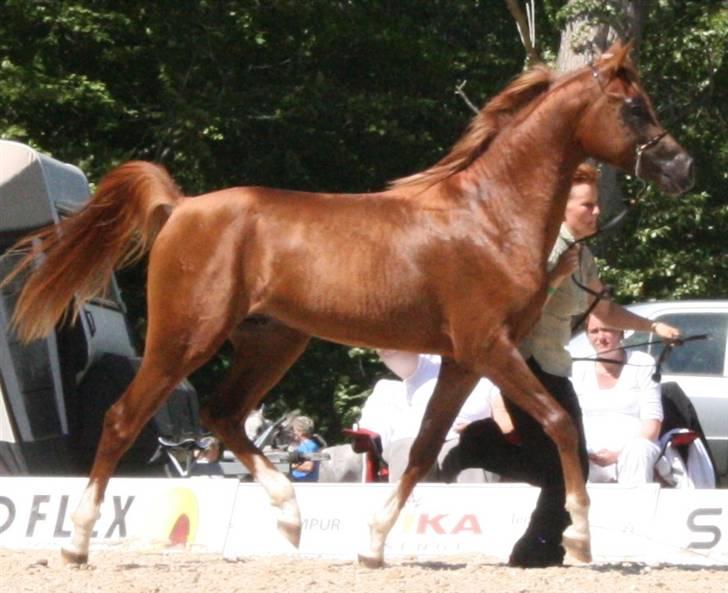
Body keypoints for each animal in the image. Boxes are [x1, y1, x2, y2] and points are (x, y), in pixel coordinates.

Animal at [1, 40, 692, 564]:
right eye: (634, 107)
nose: (683, 168)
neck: (489, 216)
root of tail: (182, 206)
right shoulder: (489, 347)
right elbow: (557, 423)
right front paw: (580, 538)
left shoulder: (464, 361)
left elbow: (423, 449)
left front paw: (373, 545)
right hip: (185, 338)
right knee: (124, 419)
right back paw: (77, 543)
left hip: (273, 341)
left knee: (223, 415)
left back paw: (289, 518)